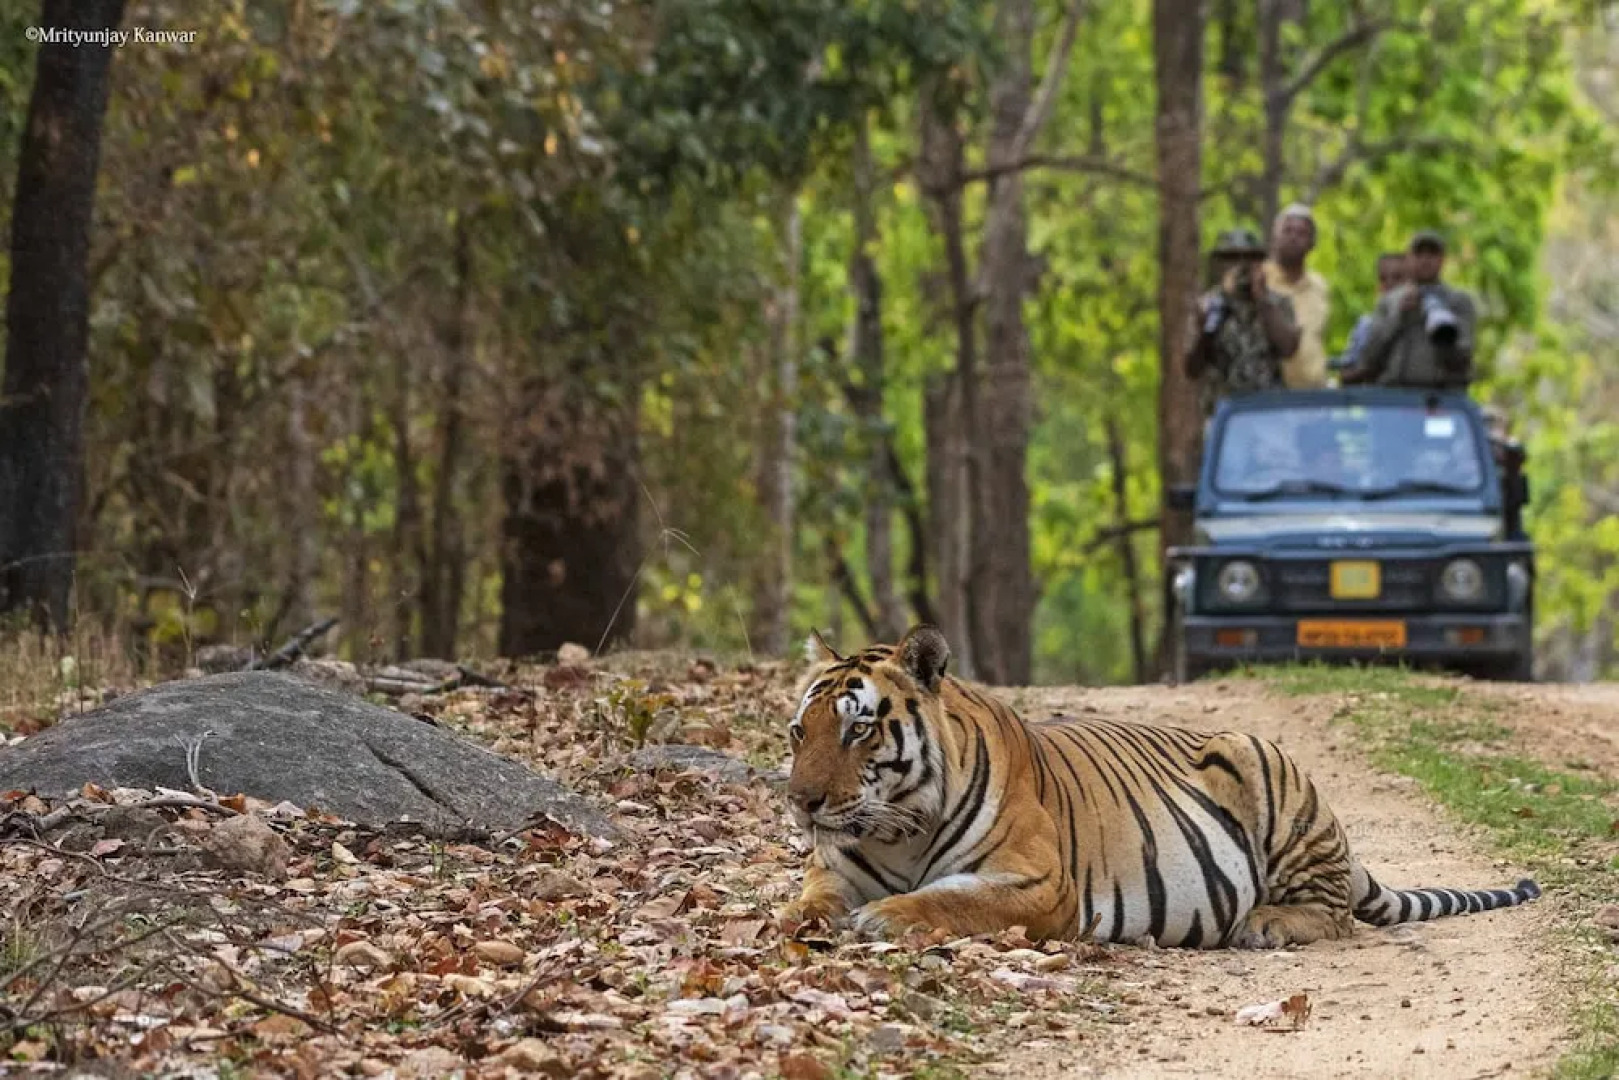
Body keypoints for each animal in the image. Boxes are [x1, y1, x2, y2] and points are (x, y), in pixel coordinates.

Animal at [780, 624, 1540, 948]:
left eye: (858, 730)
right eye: (798, 732)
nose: (801, 802)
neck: (898, 830)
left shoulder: (1038, 884)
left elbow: (956, 901)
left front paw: (888, 917)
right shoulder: (834, 866)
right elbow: (810, 896)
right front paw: (795, 922)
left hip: (1265, 766)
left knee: (1334, 912)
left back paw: (1265, 924)